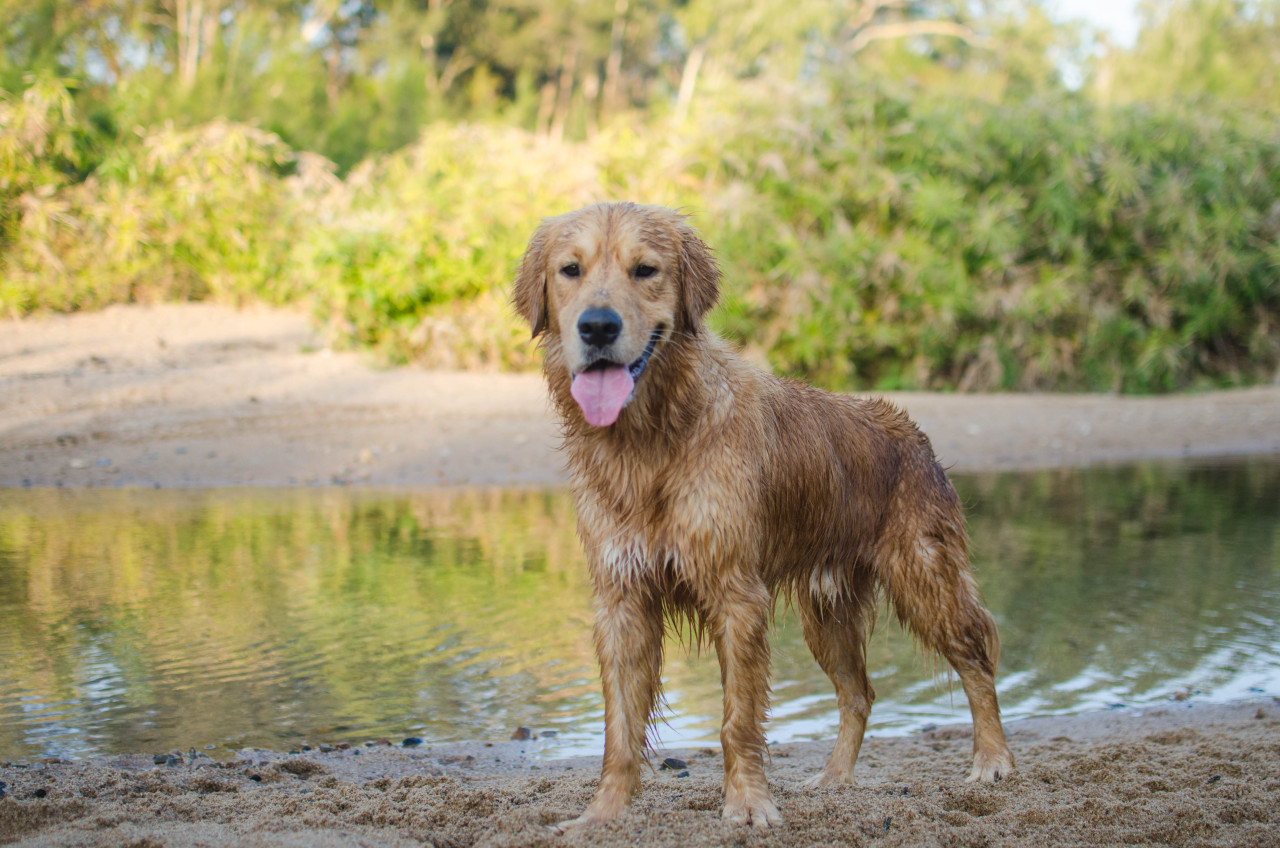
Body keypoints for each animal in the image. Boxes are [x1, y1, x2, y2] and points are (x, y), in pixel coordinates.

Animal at [509, 201, 1008, 830]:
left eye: (645, 269)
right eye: (570, 270)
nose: (598, 326)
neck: (650, 441)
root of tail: (916, 433)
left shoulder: (735, 593)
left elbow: (737, 720)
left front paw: (747, 802)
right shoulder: (623, 598)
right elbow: (619, 728)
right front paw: (604, 812)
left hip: (925, 578)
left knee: (977, 660)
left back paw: (992, 760)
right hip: (828, 611)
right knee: (859, 694)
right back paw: (834, 779)